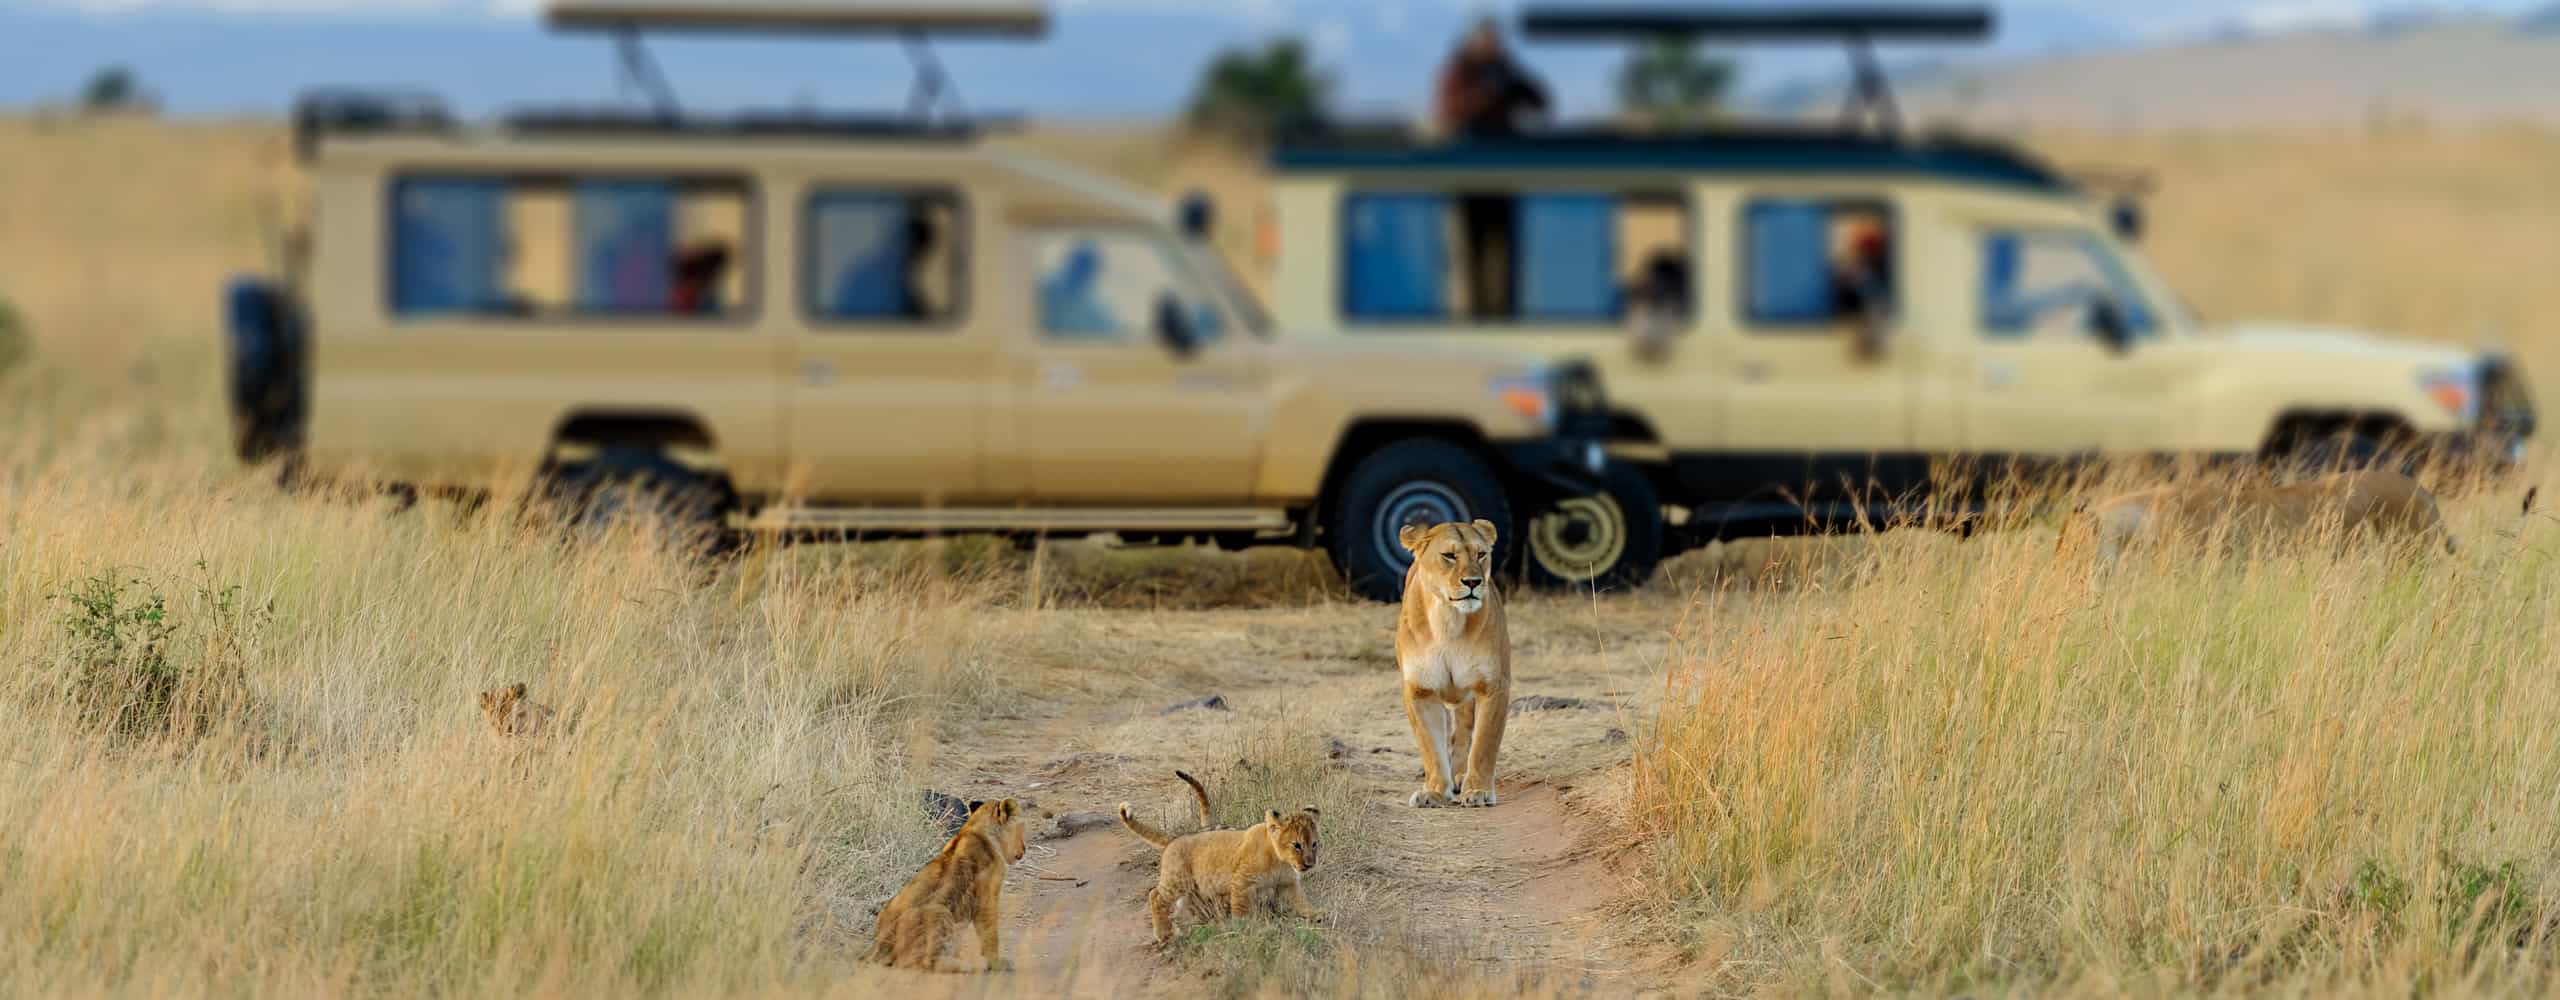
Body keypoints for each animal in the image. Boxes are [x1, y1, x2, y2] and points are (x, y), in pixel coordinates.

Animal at [867, 798, 1029, 972]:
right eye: (1022, 828)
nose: (1024, 849)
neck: (976, 829)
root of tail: (879, 946)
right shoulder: (986, 897)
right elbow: (990, 933)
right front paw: (997, 963)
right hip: (940, 912)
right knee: (923, 962)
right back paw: (963, 965)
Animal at [1118, 772, 1323, 947]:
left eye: (1314, 844)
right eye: (1296, 845)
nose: (1309, 864)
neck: (1280, 860)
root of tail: (1173, 839)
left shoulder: (1287, 883)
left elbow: (1299, 900)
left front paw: (1316, 914)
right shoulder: (1241, 882)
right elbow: (1241, 908)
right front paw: (1245, 927)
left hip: (1190, 889)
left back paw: (1185, 928)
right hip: (1177, 880)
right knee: (1156, 895)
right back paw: (1164, 934)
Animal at [1394, 519, 1511, 808]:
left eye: (1481, 554)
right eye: (1449, 555)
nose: (1473, 582)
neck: (1448, 621)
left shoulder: (1493, 685)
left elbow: (1484, 743)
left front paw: (1478, 790)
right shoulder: (1420, 691)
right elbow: (1430, 746)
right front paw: (1434, 791)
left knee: (1465, 733)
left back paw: (1461, 776)